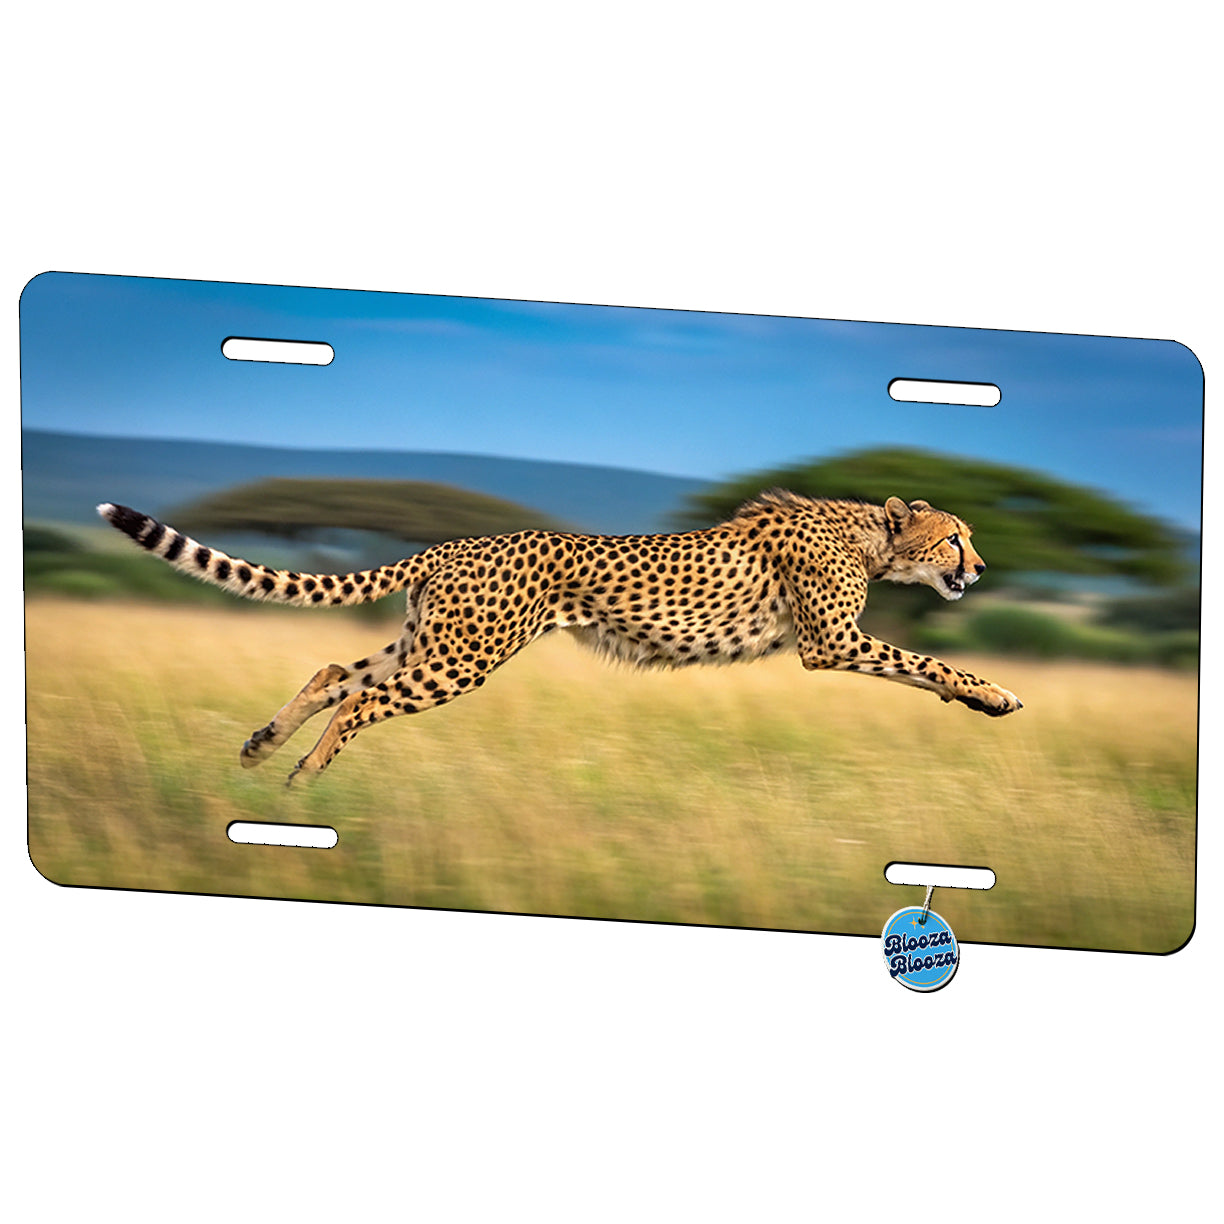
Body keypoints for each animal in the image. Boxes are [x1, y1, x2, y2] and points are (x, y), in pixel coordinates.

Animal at [97, 491, 1021, 784]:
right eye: (954, 538)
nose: (981, 566)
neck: (870, 535)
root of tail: (458, 542)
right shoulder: (829, 642)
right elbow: (924, 656)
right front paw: (995, 694)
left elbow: (920, 662)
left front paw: (978, 701)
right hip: (461, 660)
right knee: (361, 703)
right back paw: (305, 774)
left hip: (431, 643)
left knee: (334, 671)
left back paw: (261, 747)